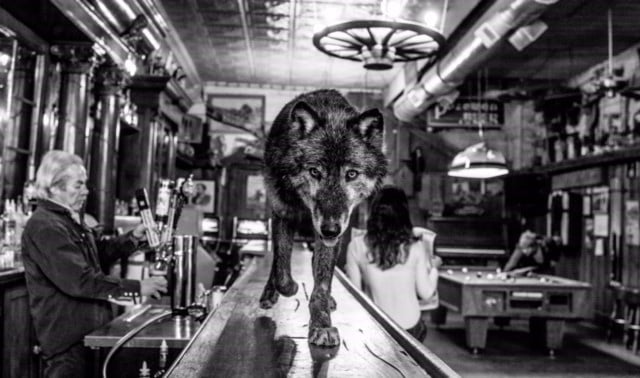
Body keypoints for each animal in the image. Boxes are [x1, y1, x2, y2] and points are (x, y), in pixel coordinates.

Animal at [258, 88, 384, 346]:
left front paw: (321, 323)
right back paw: (269, 292)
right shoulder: (283, 214)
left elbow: (323, 281)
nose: (330, 230)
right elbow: (282, 270)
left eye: (351, 174)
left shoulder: (333, 231)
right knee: (277, 262)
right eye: (315, 171)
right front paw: (290, 287)